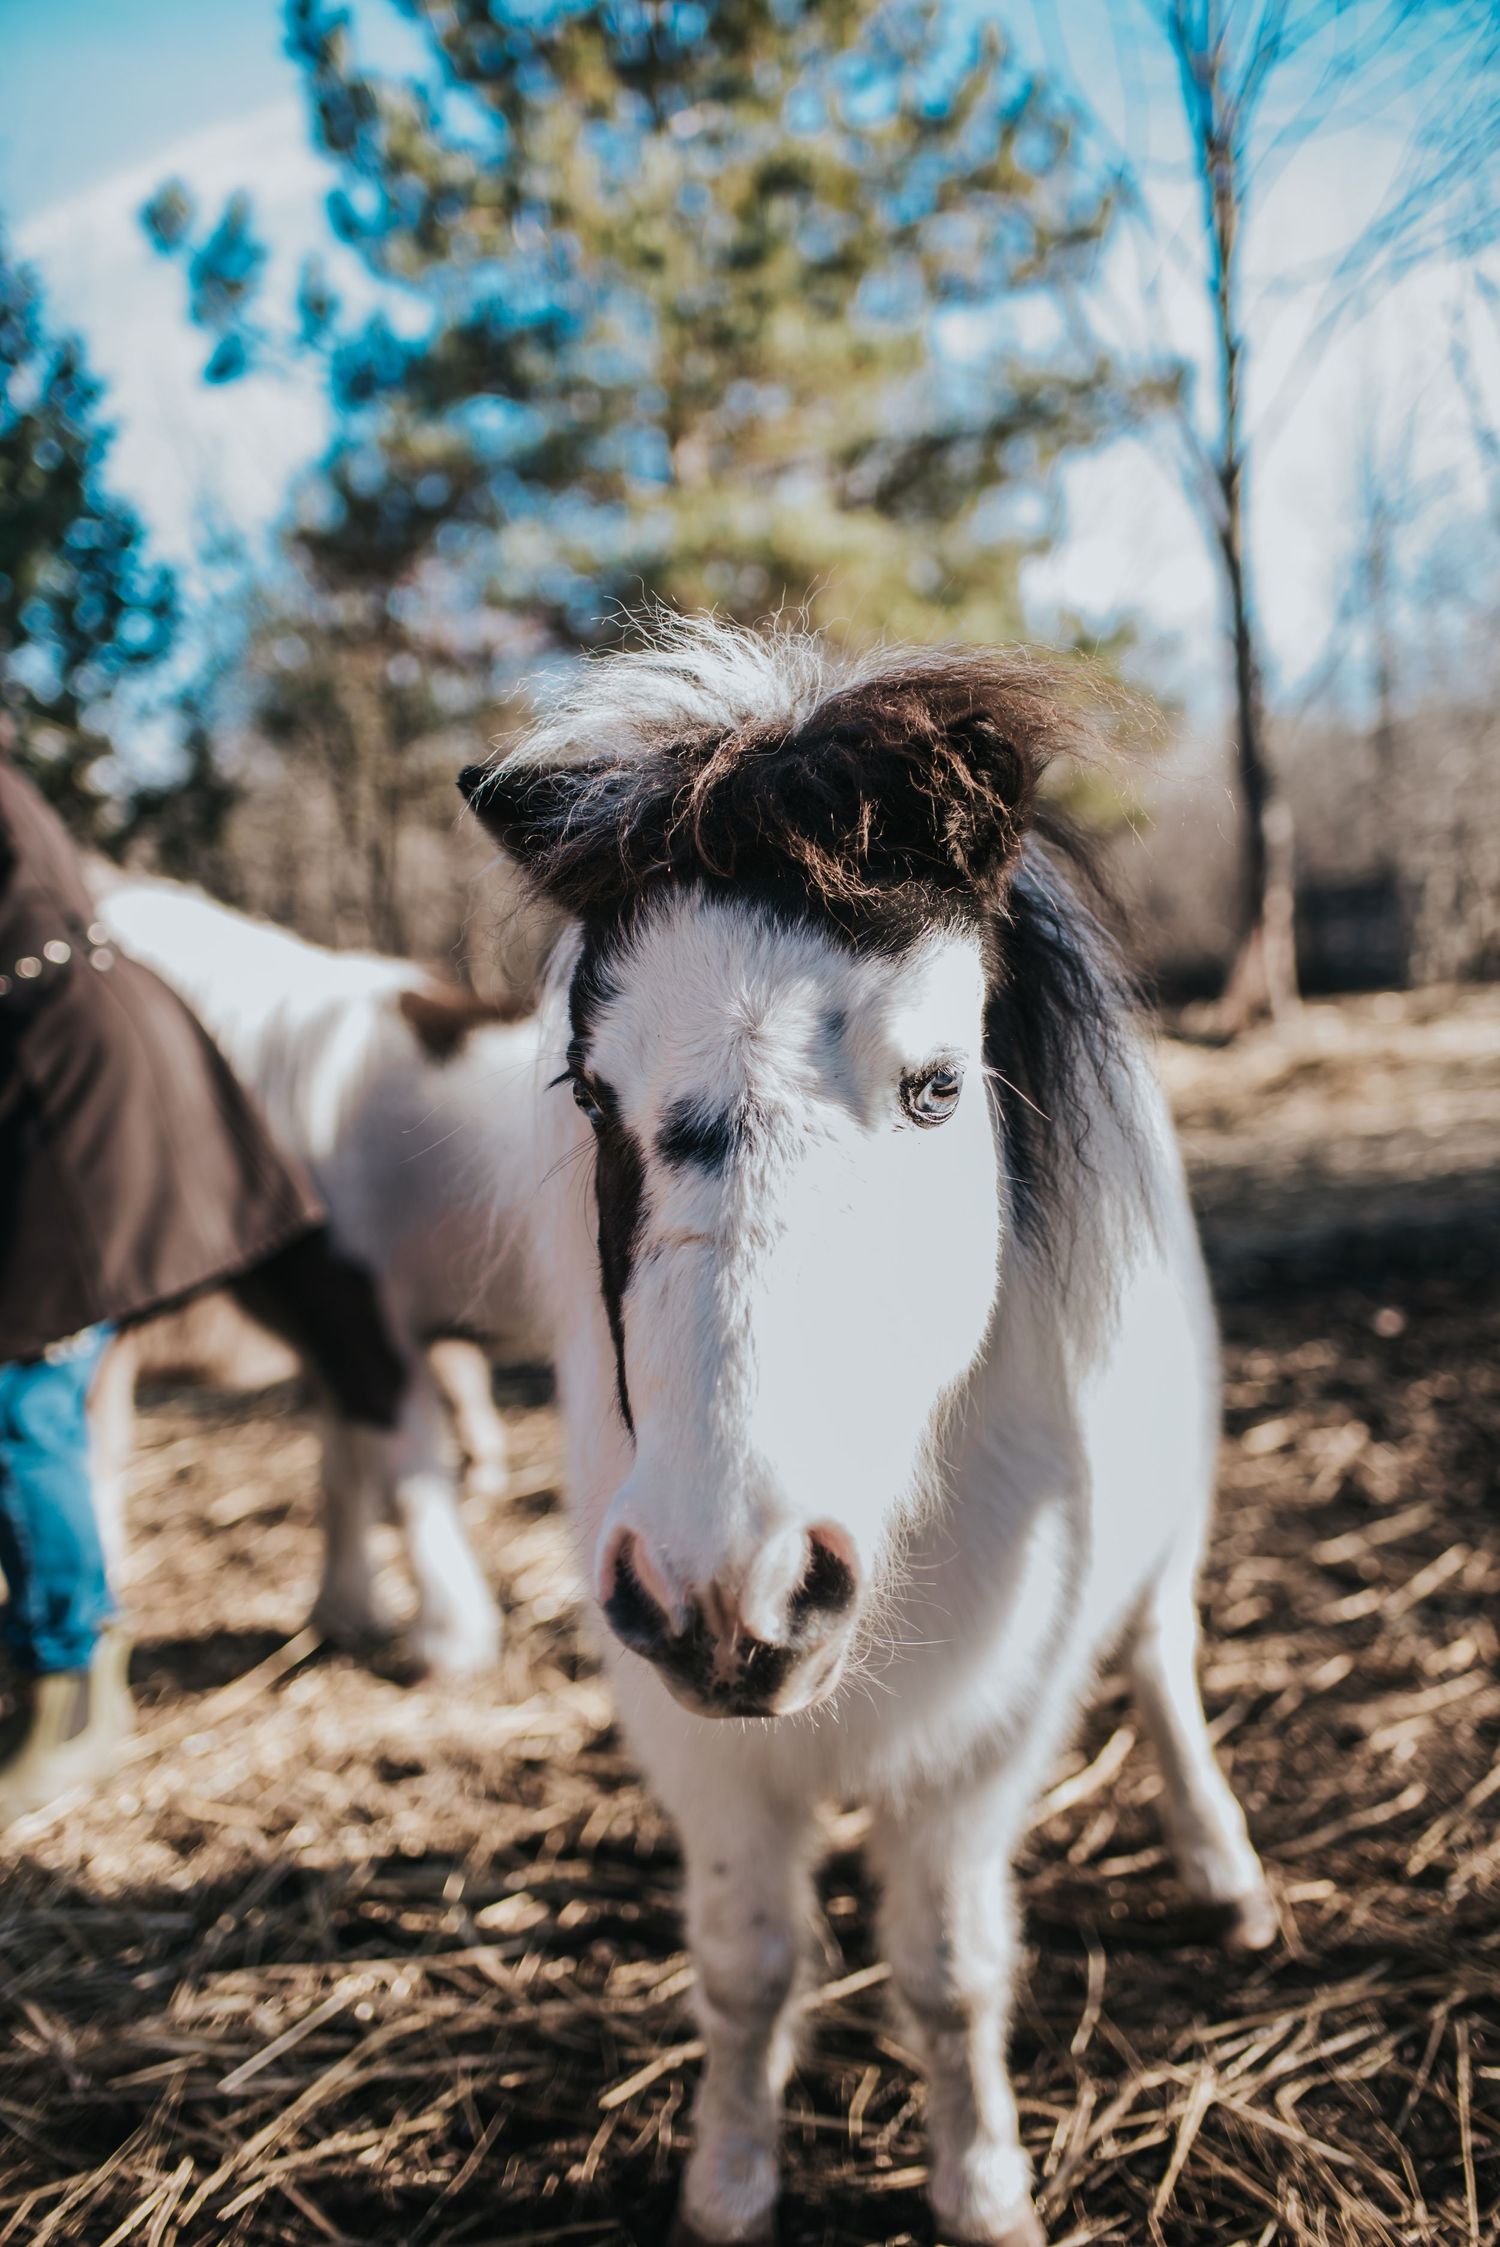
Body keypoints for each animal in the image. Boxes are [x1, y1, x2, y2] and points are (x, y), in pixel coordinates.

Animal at [93, 874, 547, 1676]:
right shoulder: (327, 1334)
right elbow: (345, 1473)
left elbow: (408, 1468)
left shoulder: (363, 1320)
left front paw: (449, 1639)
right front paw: (345, 1613)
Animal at [458, 618, 1273, 2247]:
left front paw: (982, 2188)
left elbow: (948, 1976)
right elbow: (746, 1965)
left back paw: (1225, 1870)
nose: (731, 1588)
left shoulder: (982, 1745)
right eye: (590, 1092)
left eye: (938, 1084)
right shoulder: (693, 1746)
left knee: (1162, 1660)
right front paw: (727, 2184)